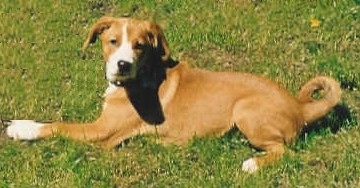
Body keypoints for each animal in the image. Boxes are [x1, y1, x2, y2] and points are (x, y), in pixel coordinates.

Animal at [7, 16, 342, 173]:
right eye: (113, 41)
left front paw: (24, 128)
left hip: (245, 110)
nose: (122, 65)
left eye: (140, 45)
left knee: (285, 152)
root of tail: (300, 106)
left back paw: (252, 164)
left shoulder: (102, 132)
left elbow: (59, 126)